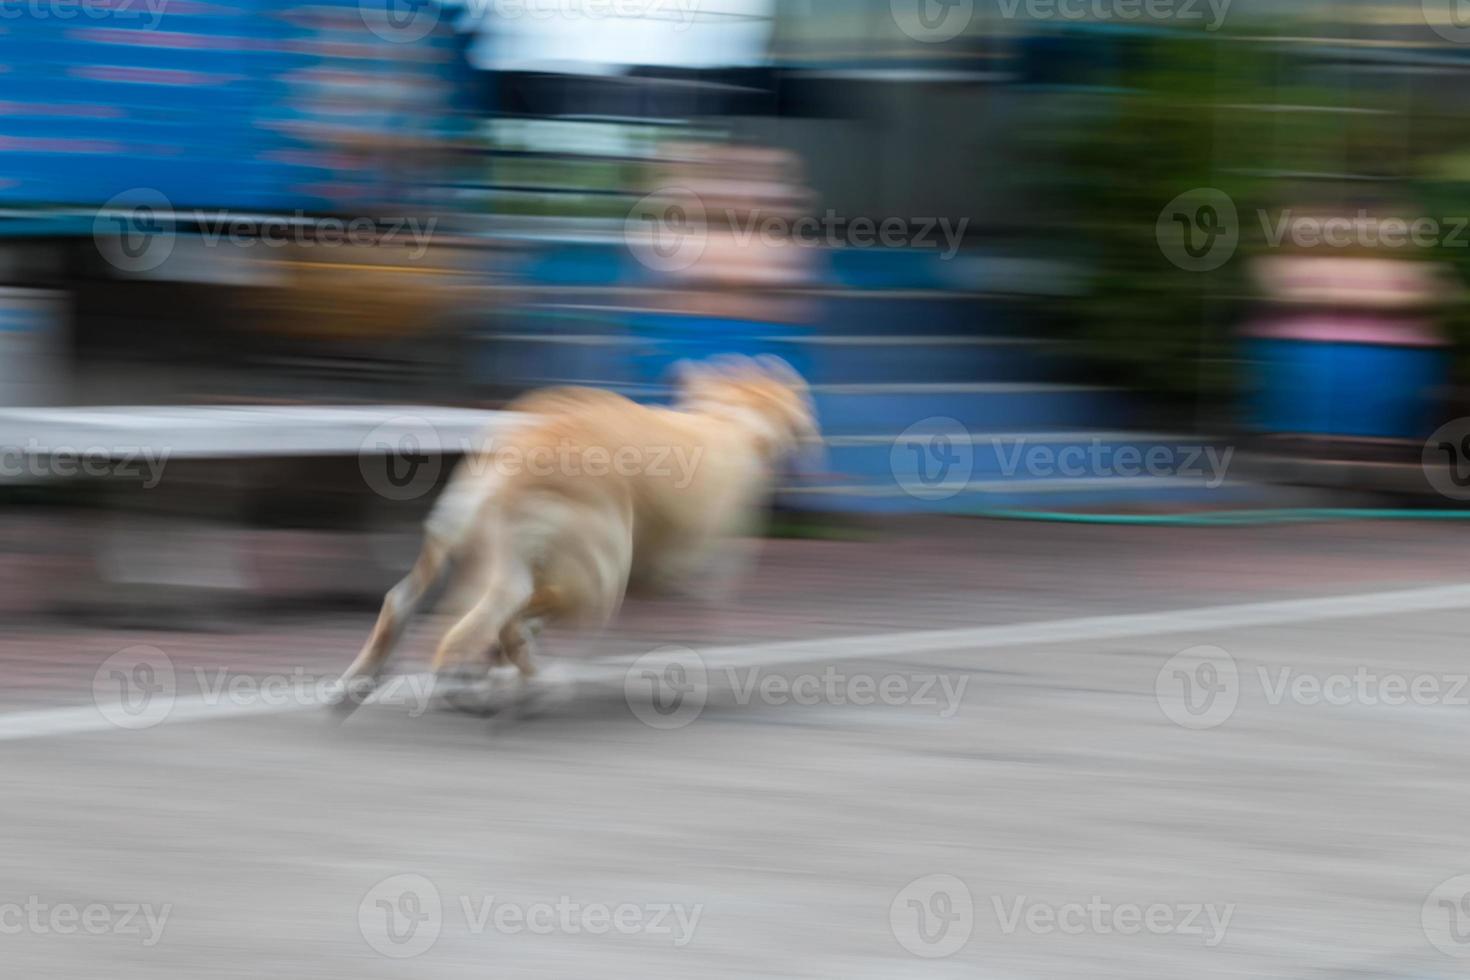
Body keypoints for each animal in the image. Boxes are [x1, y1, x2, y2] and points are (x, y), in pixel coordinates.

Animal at [335, 357, 823, 708]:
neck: (732, 420)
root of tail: (511, 463)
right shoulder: (699, 578)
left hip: (469, 557)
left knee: (409, 606)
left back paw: (356, 687)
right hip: (597, 579)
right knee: (497, 625)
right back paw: (512, 682)